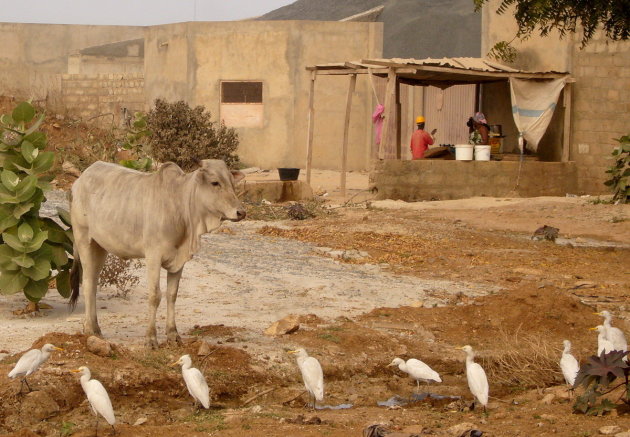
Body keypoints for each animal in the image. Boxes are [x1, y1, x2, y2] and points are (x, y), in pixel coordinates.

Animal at [70, 160, 246, 348]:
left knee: (93, 283)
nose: (241, 212)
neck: (180, 206)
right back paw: (90, 329)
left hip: (100, 247)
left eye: (232, 183)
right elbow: (155, 296)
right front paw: (151, 338)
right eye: (215, 183)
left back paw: (95, 327)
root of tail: (80, 179)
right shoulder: (153, 256)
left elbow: (172, 295)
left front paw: (173, 335)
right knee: (88, 283)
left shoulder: (179, 261)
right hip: (84, 240)